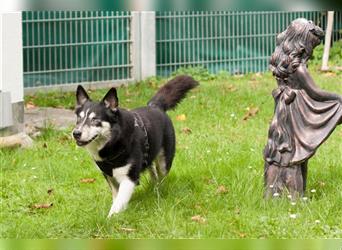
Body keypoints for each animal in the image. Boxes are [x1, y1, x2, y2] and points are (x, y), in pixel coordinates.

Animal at [73, 74, 199, 217]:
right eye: (78, 118)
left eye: (95, 120)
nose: (76, 133)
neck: (113, 143)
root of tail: (155, 106)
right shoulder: (109, 177)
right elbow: (116, 198)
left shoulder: (129, 178)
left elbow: (118, 203)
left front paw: (111, 218)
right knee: (152, 172)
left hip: (164, 162)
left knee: (161, 176)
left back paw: (159, 192)